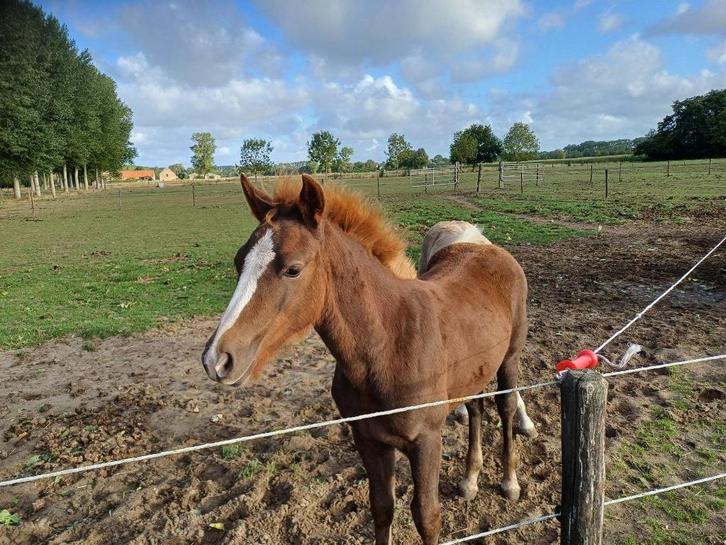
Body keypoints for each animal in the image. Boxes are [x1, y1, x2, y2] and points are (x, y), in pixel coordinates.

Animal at [202, 174, 537, 544]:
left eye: (292, 269)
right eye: (238, 262)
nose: (217, 359)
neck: (387, 347)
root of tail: (486, 246)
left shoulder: (427, 440)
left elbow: (427, 517)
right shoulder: (368, 439)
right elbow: (381, 507)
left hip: (510, 356)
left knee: (505, 406)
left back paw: (509, 482)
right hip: (473, 370)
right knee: (476, 407)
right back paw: (469, 480)